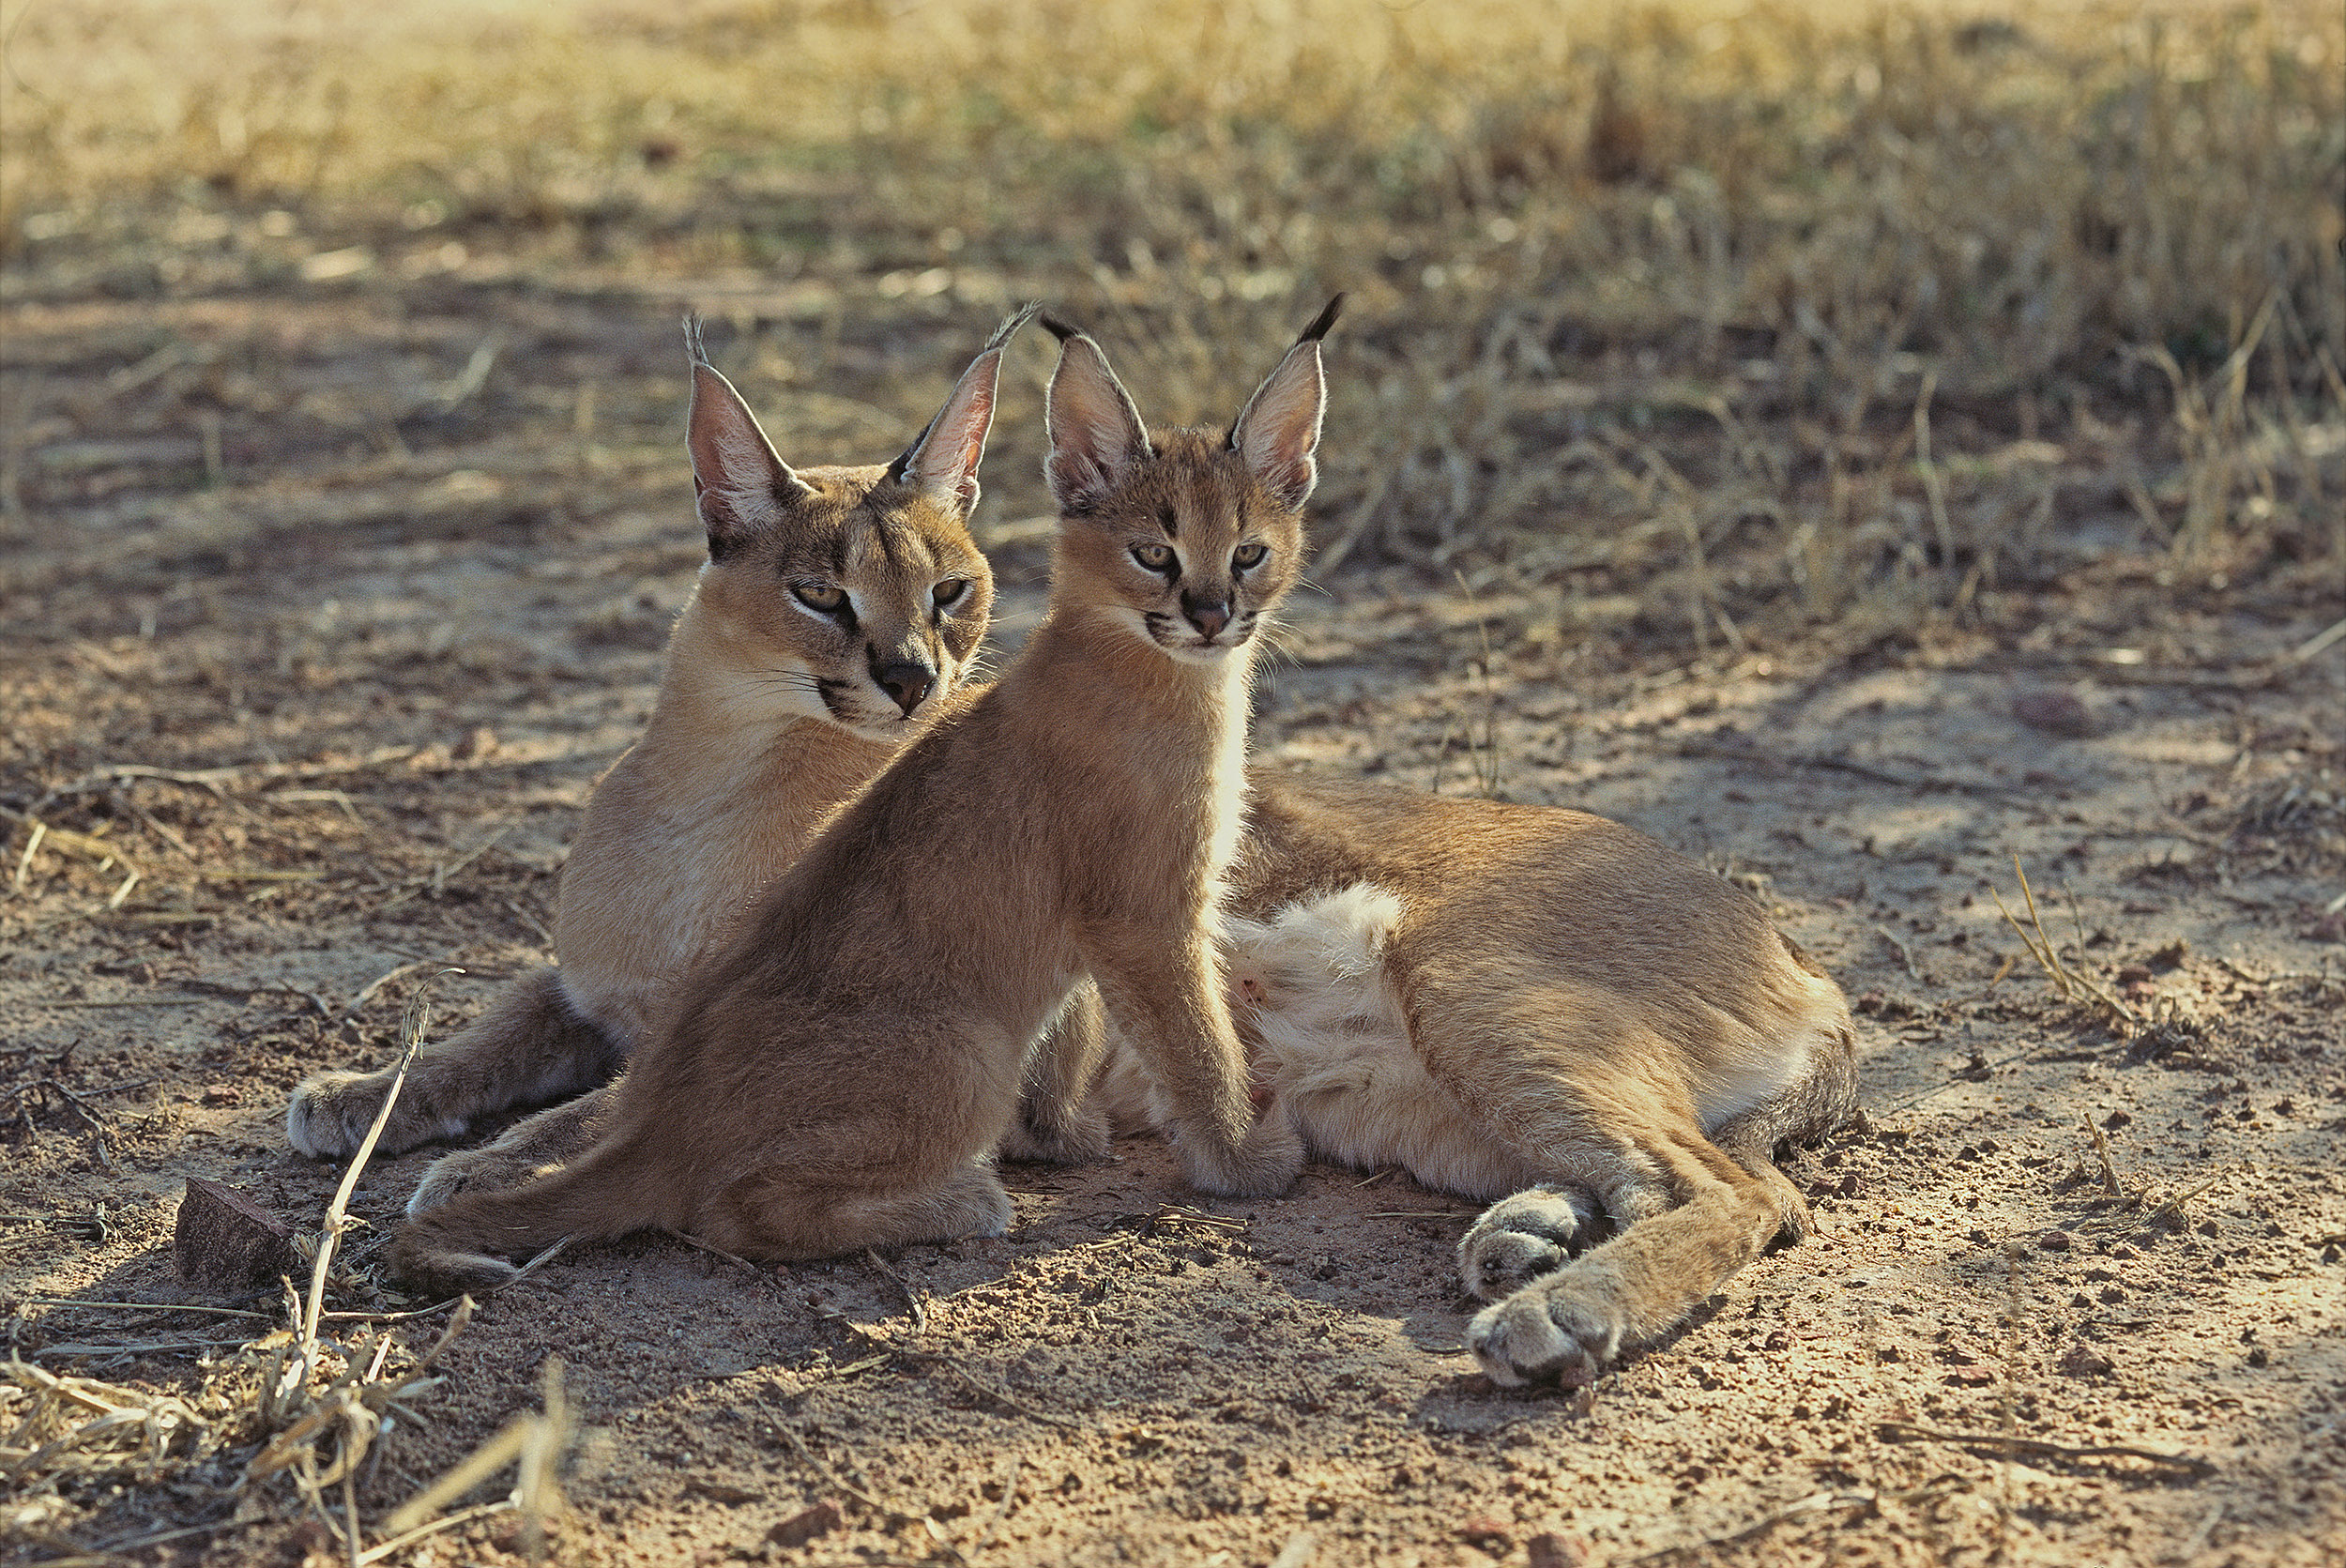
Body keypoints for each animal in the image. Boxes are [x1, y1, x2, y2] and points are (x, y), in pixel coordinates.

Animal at [283, 310, 1107, 1201]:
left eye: (950, 590)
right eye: (821, 594)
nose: (913, 677)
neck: (713, 778)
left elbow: (618, 1106)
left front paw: (488, 1172)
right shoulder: (591, 984)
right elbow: (498, 1023)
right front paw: (364, 1091)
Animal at [391, 302, 1333, 1286]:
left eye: (1250, 554)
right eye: (1155, 553)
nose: (1212, 614)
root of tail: (666, 1127)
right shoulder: (1145, 916)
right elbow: (1197, 1037)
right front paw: (1242, 1158)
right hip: (969, 1051)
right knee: (733, 1205)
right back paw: (967, 1198)